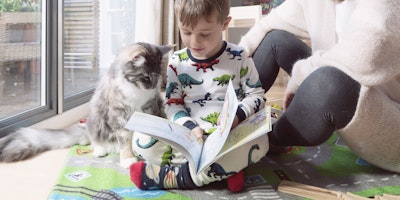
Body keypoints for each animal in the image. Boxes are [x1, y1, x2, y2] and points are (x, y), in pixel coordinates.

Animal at [0, 43, 172, 168]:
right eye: (146, 77)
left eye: (158, 76)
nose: (153, 86)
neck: (136, 90)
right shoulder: (119, 115)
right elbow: (125, 141)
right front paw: (128, 160)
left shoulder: (151, 105)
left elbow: (152, 121)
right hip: (97, 119)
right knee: (96, 140)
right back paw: (100, 151)